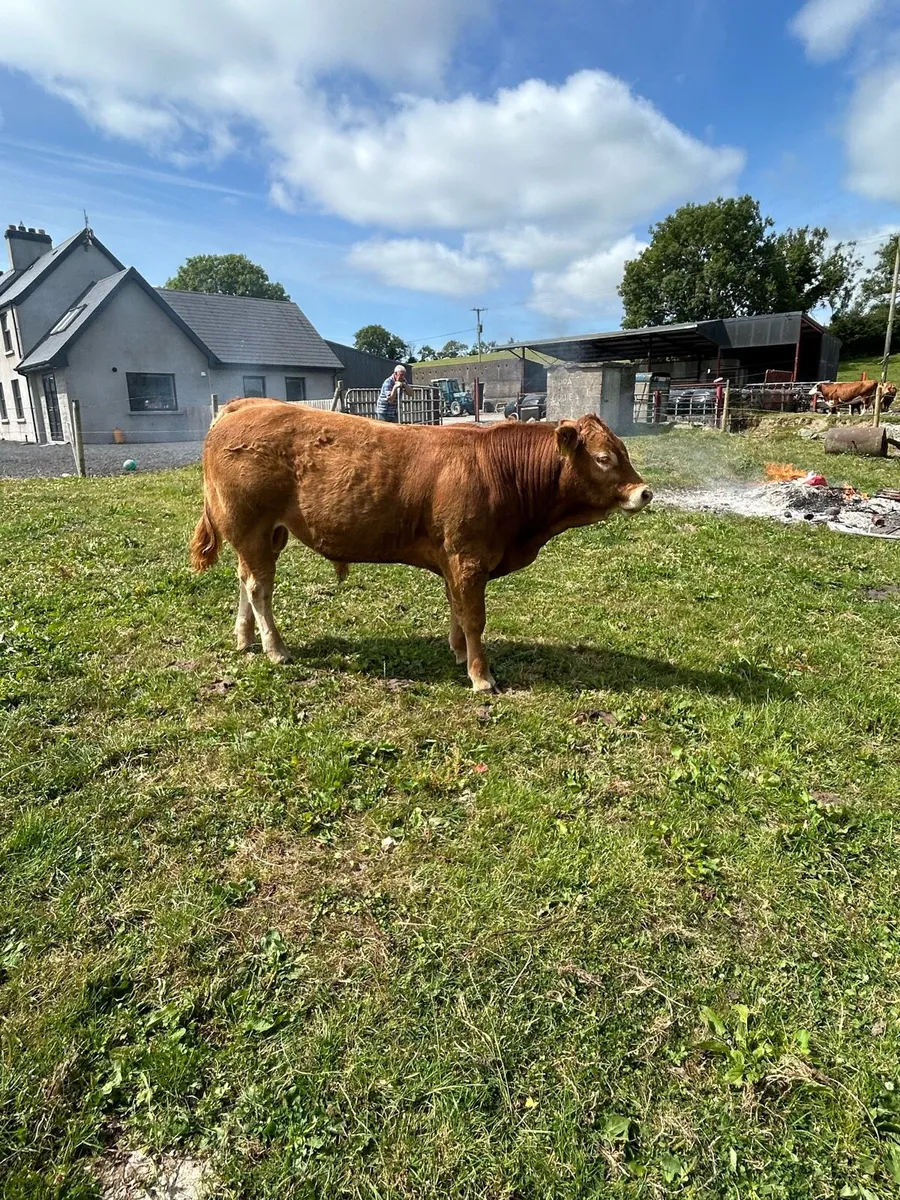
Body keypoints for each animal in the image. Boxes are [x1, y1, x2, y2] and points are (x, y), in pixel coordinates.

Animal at [190, 399, 653, 692]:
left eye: (623, 451)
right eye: (604, 458)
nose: (644, 492)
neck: (499, 471)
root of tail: (244, 406)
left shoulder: (453, 559)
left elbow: (457, 608)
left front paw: (459, 653)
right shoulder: (469, 558)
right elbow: (474, 618)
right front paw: (481, 675)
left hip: (265, 535)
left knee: (245, 580)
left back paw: (244, 639)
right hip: (252, 528)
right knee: (259, 588)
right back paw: (276, 649)